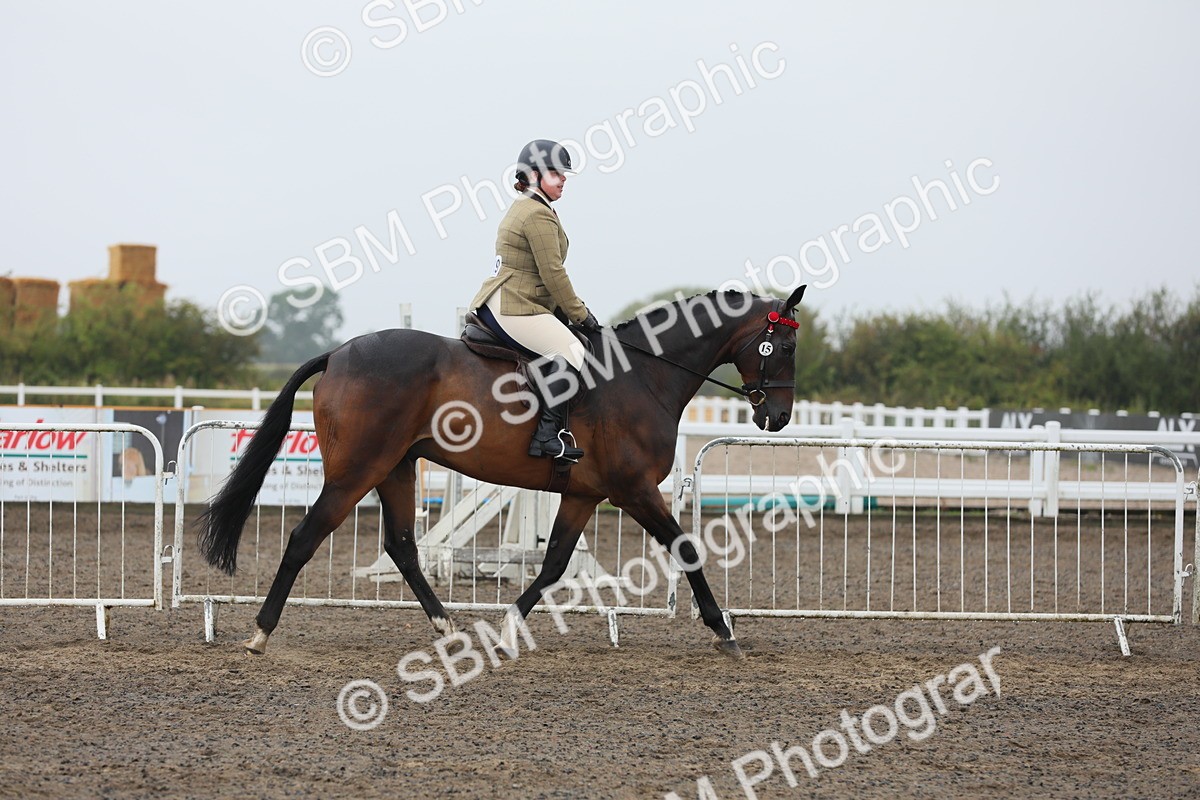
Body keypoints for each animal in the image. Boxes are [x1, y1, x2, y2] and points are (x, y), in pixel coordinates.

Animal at [198, 285, 807, 659]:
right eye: (784, 345)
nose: (777, 418)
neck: (643, 374)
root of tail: (339, 353)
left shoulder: (584, 495)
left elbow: (554, 563)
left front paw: (508, 627)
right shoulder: (634, 491)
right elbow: (686, 548)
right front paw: (724, 630)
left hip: (396, 468)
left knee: (402, 545)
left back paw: (446, 627)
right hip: (357, 471)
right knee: (306, 536)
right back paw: (260, 633)